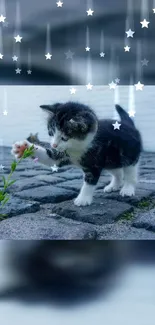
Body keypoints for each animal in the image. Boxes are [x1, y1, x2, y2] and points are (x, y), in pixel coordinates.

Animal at [11, 101, 142, 205]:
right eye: (51, 133)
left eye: (64, 138)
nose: (53, 145)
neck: (78, 147)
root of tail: (129, 125)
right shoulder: (61, 154)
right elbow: (51, 158)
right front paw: (23, 148)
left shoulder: (95, 161)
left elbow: (90, 181)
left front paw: (83, 199)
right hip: (111, 160)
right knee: (117, 172)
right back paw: (114, 185)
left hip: (129, 155)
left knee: (130, 172)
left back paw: (128, 189)